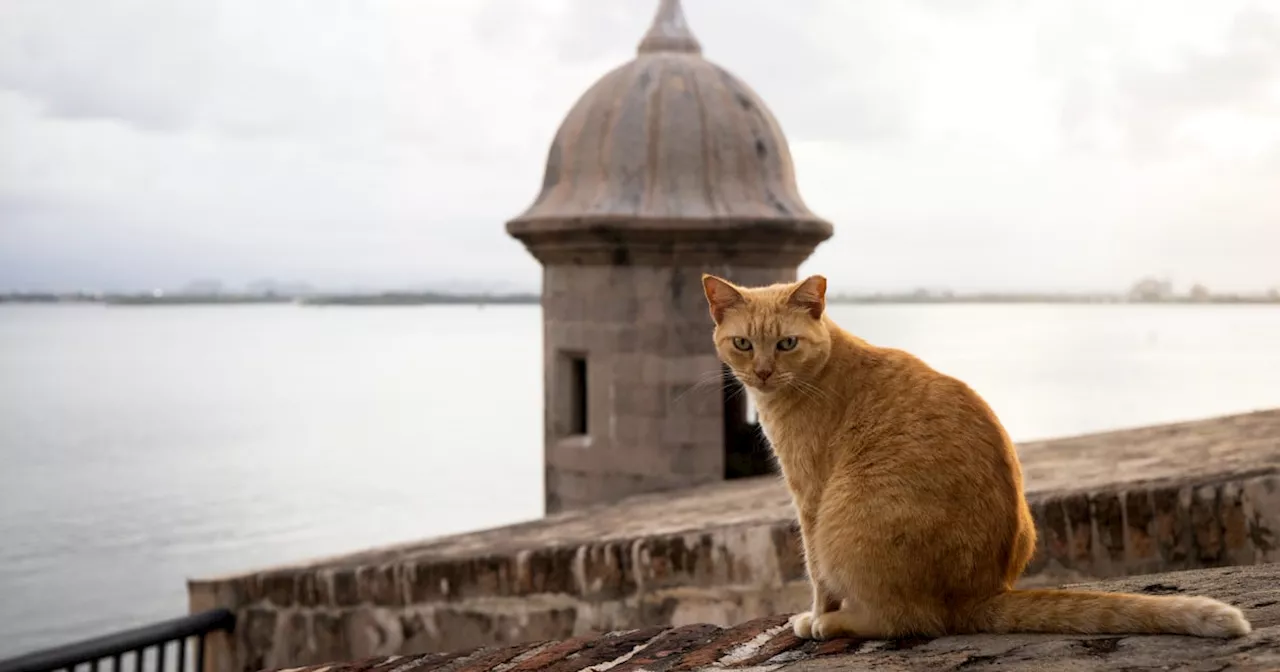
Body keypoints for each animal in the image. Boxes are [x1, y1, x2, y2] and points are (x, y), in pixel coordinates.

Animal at [701, 271, 1249, 640]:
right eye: (743, 344)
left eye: (786, 343)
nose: (763, 372)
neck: (819, 369)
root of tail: (978, 595)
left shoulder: (809, 497)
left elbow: (815, 571)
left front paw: (815, 614)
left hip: (845, 522)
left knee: (906, 620)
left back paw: (831, 624)